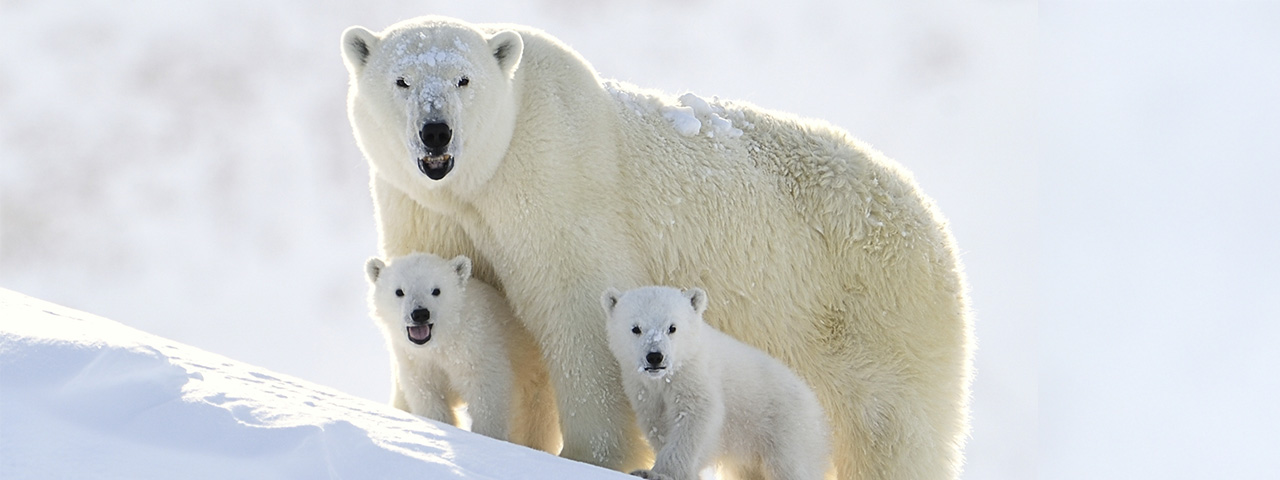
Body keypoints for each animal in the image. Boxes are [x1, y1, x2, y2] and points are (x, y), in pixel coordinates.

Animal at [340, 15, 967, 480]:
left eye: (463, 80)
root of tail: (932, 224)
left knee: (891, 434)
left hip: (876, 317)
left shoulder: (558, 187)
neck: (488, 175)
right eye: (402, 81)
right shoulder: (421, 206)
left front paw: (589, 456)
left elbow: (579, 320)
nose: (436, 132)